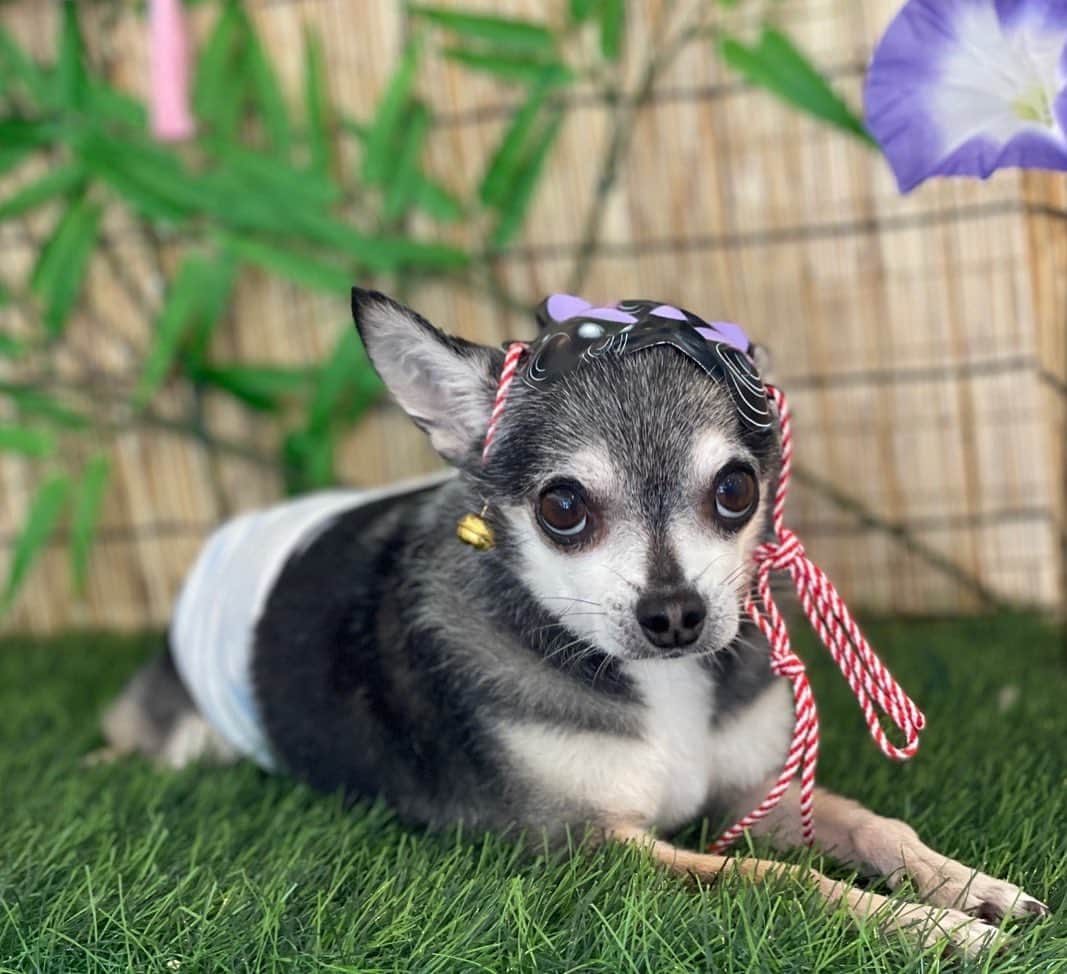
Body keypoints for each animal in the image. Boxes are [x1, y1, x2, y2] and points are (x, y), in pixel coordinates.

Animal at [104, 288, 1045, 955]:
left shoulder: (751, 793)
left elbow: (872, 825)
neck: (662, 691)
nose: (674, 612)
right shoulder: (586, 849)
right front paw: (931, 929)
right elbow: (771, 880)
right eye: (562, 508)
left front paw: (964, 887)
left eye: (735, 490)